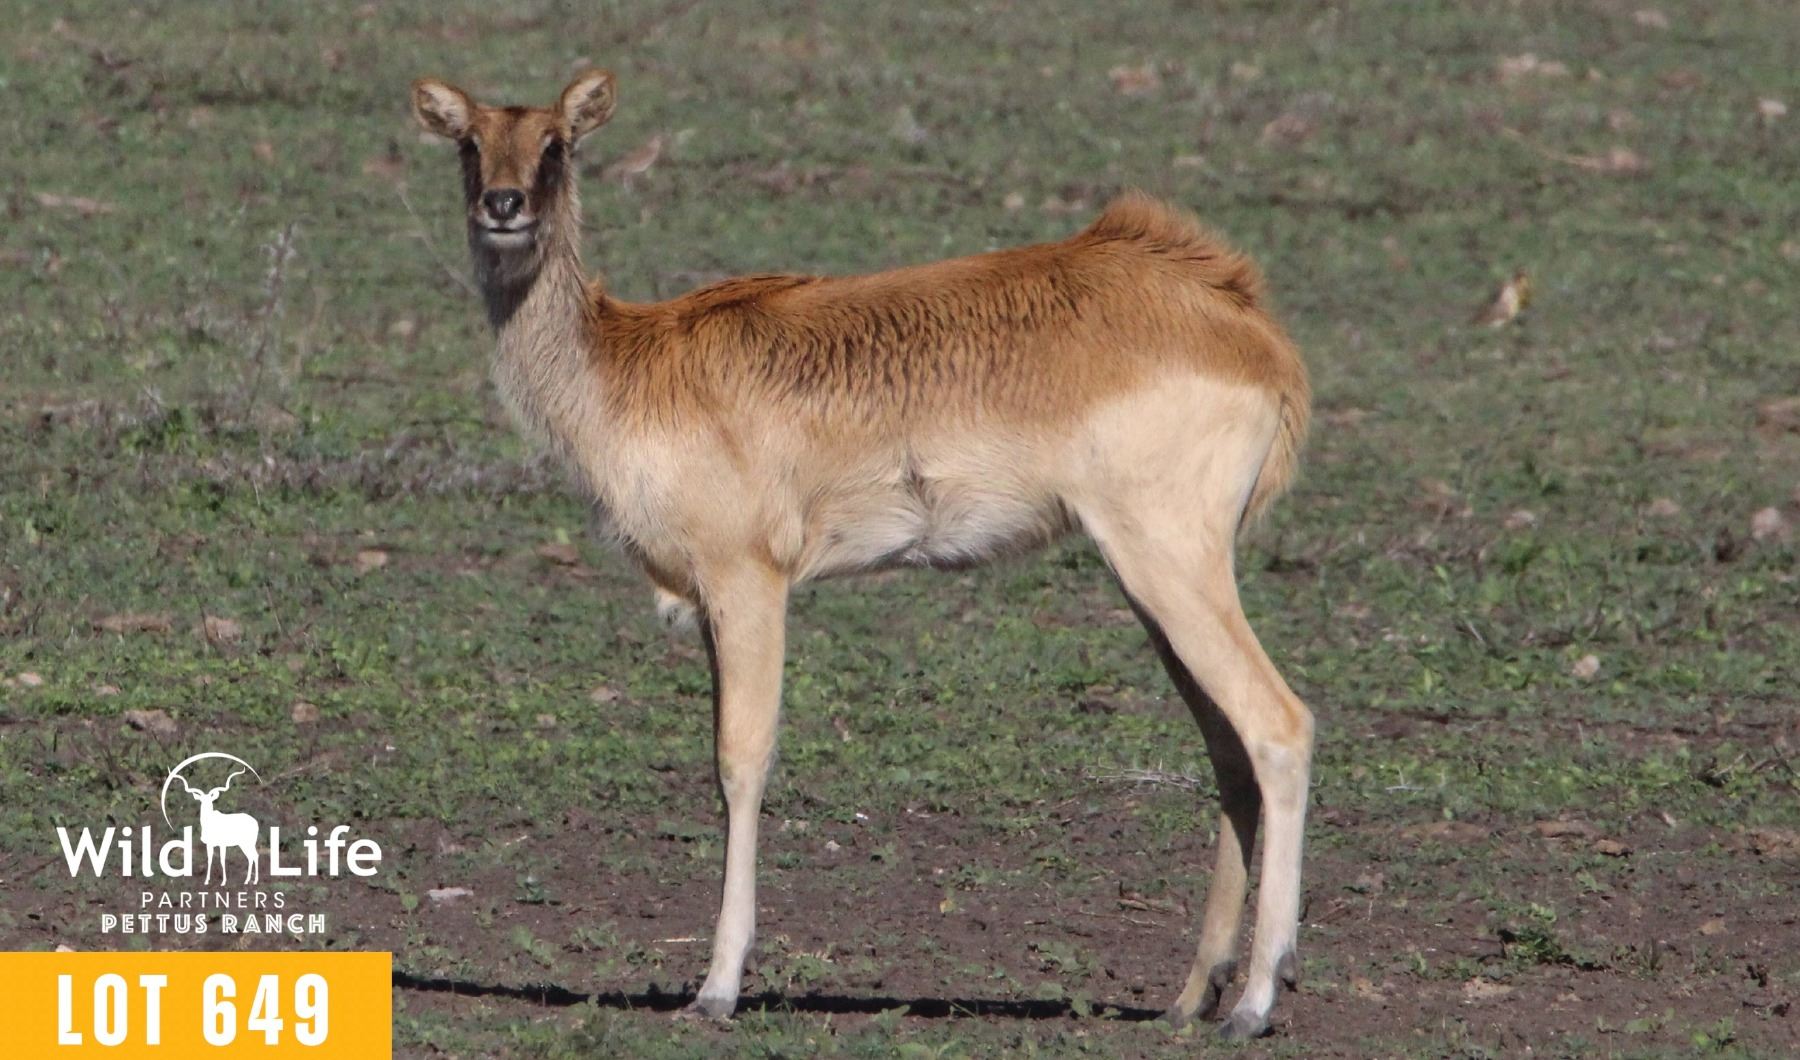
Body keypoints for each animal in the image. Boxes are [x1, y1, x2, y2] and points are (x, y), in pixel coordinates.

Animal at [410, 70, 1314, 1039]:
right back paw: (1192, 994)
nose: (504, 206)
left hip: (1171, 564)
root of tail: (1244, 322)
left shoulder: (749, 582)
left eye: (555, 143)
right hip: (1152, 586)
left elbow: (742, 761)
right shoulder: (709, 607)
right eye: (470, 142)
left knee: (1279, 726)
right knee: (1228, 748)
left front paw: (717, 986)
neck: (629, 367)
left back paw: (1253, 1001)